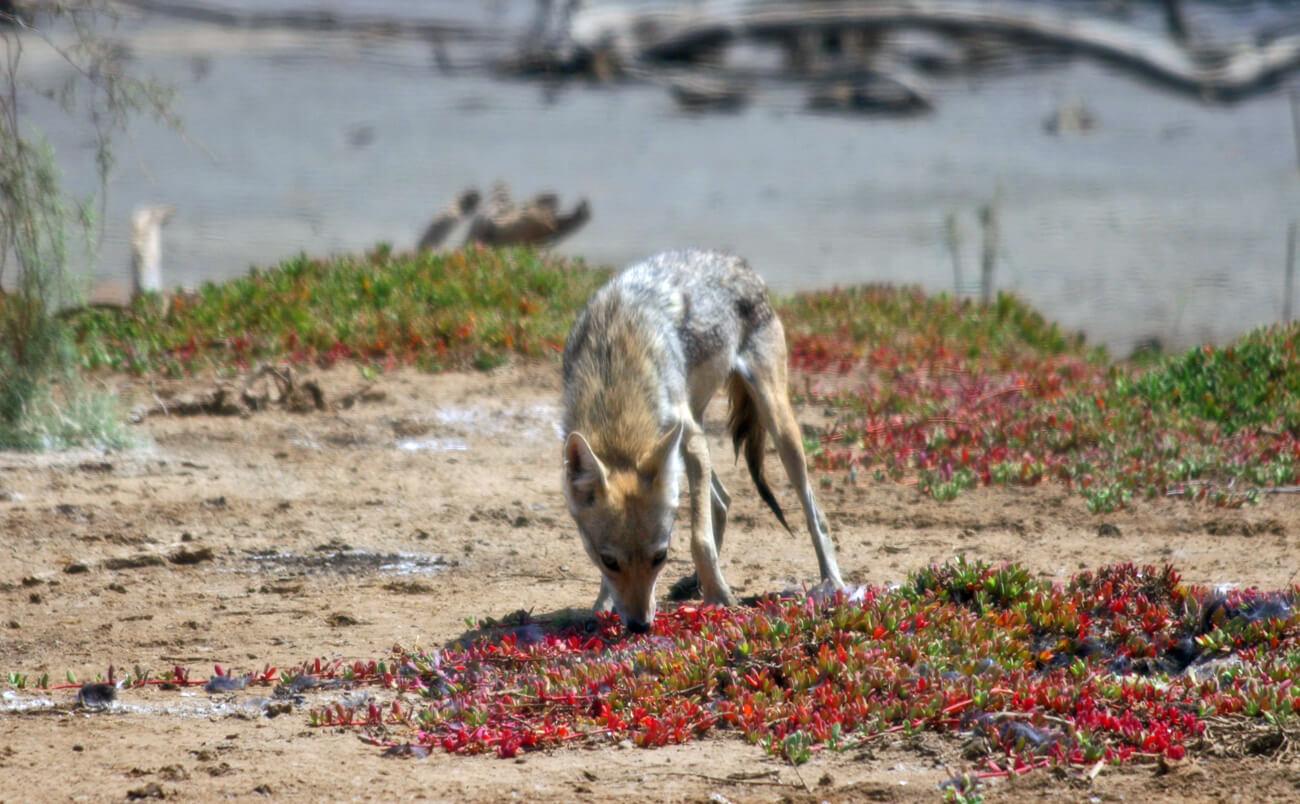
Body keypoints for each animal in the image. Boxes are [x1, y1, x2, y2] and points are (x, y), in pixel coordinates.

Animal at [559, 249, 842, 632]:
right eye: (609, 561)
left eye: (660, 557)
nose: (640, 625)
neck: (613, 376)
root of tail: (737, 263)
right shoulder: (687, 443)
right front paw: (603, 605)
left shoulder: (690, 440)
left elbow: (699, 539)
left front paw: (720, 598)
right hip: (697, 437)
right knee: (722, 499)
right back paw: (694, 582)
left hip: (775, 427)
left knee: (815, 513)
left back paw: (833, 582)